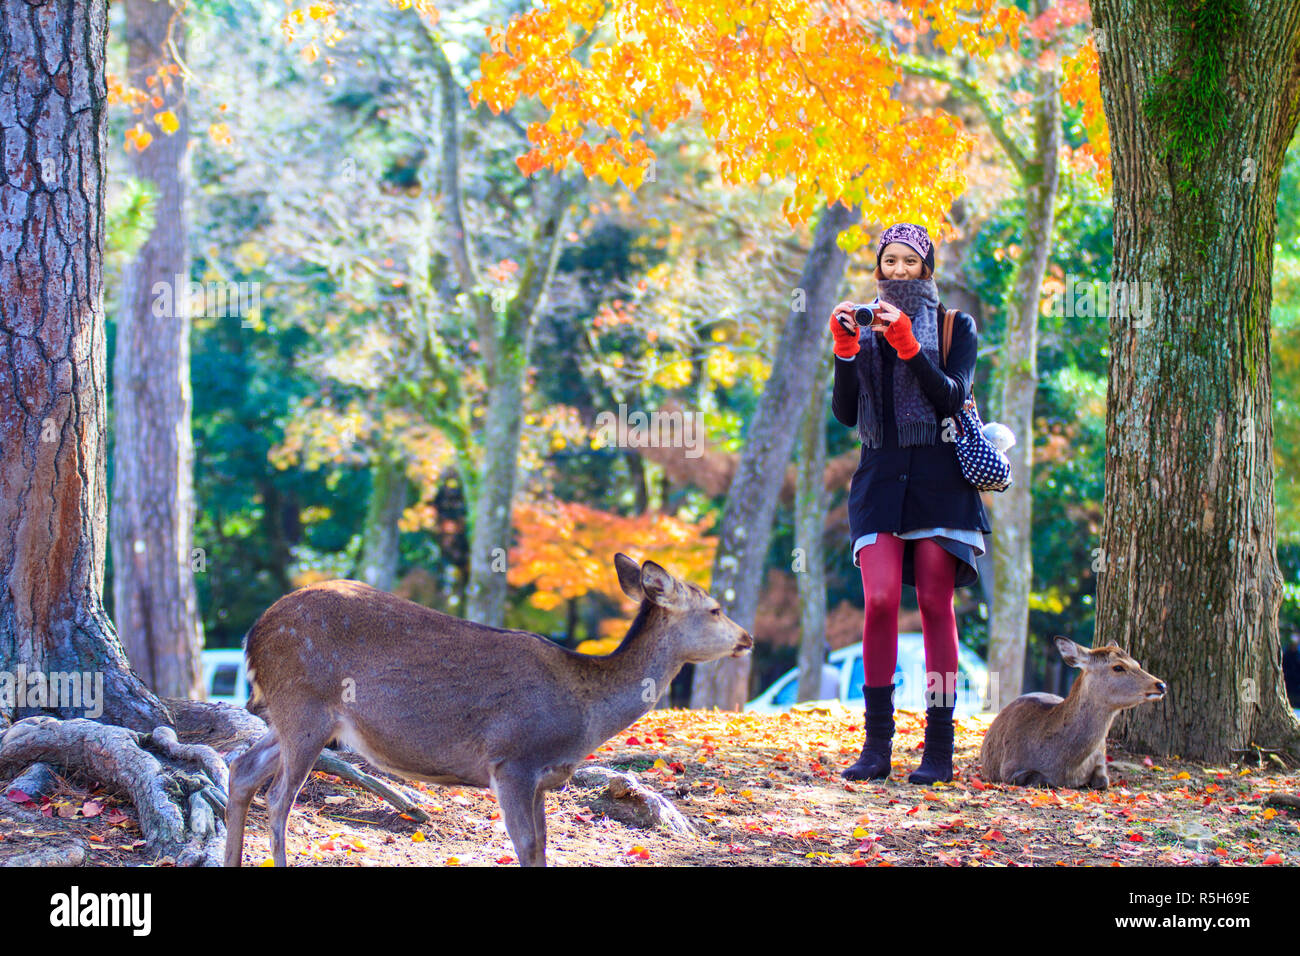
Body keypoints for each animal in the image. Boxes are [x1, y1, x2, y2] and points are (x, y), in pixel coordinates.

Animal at [223, 548, 754, 868]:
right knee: (279, 797)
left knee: (242, 768)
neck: (584, 714)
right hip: (305, 704)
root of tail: (254, 634)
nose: (747, 637)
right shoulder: (512, 759)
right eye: (715, 609)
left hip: (291, 716)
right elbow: (525, 846)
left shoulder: (540, 776)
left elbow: (542, 846)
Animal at [977, 639, 1170, 790]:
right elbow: (1040, 779)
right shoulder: (1009, 768)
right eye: (1118, 667)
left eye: (1137, 663)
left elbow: (1103, 782)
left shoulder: (1101, 758)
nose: (1161, 685)